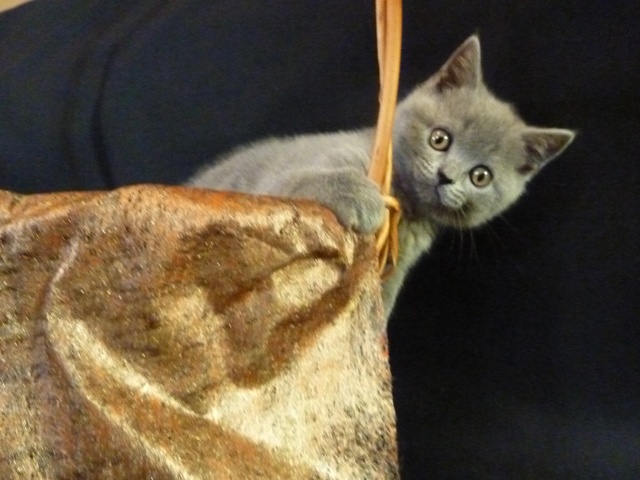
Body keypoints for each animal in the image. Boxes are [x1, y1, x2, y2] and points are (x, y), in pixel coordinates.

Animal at [188, 35, 575, 320]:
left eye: (481, 176)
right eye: (440, 139)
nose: (446, 176)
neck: (406, 206)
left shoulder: (397, 269)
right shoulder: (296, 174)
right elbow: (304, 182)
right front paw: (361, 198)